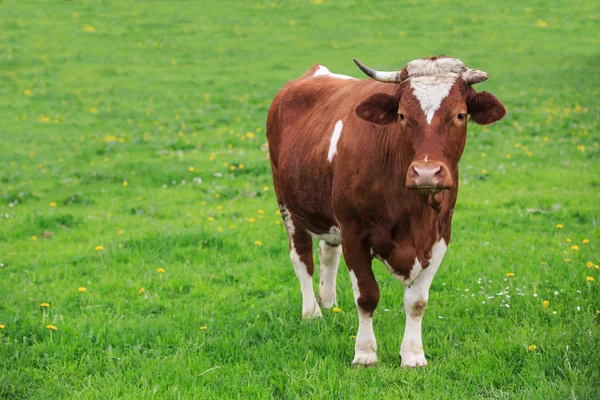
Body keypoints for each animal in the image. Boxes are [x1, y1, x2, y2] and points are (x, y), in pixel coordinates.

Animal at [268, 55, 506, 366]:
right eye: (402, 116)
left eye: (460, 115)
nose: (426, 173)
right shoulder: (354, 234)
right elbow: (367, 296)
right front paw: (365, 353)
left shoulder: (440, 236)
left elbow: (417, 302)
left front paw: (413, 356)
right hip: (287, 204)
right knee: (302, 258)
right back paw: (312, 312)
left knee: (327, 253)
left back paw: (329, 304)